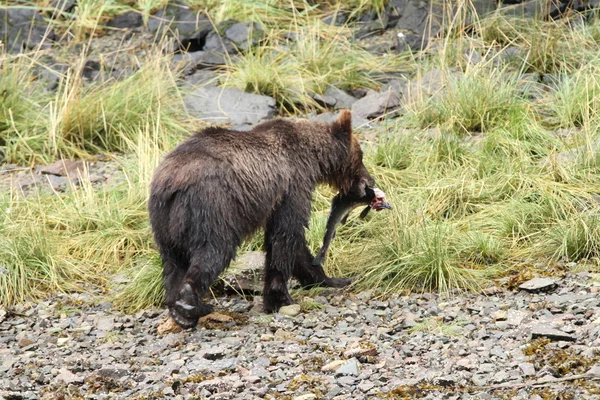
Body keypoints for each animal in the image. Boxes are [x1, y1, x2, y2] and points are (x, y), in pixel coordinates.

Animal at [151, 110, 380, 328]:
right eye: (361, 154)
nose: (370, 181)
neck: (312, 158)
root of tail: (172, 183)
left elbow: (294, 244)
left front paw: (331, 279)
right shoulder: (293, 184)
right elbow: (286, 234)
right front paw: (280, 298)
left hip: (163, 221)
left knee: (173, 263)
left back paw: (179, 308)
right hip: (212, 205)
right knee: (214, 250)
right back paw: (189, 303)